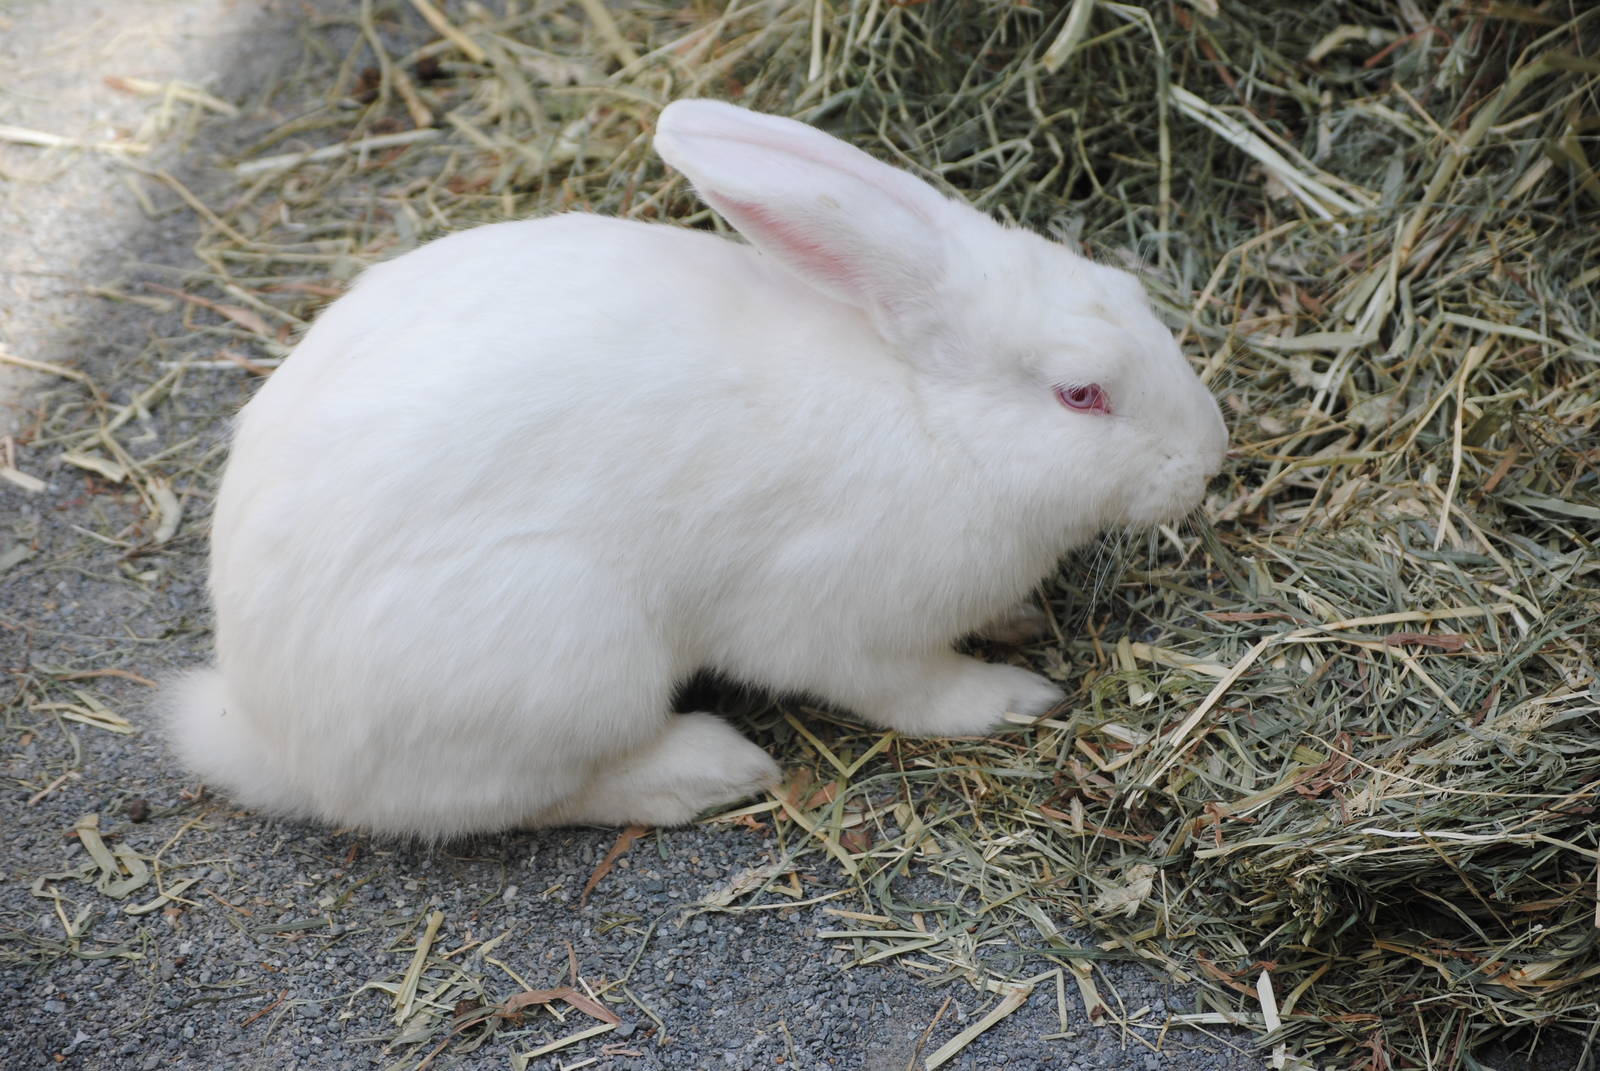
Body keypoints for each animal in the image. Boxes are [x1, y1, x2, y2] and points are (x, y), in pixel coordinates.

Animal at [164, 99, 1227, 839]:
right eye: (1081, 395)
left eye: (1131, 289)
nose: (1209, 459)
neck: (932, 418)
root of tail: (265, 727)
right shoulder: (848, 626)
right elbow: (915, 694)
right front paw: (1016, 697)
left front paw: (1018, 621)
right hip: (568, 658)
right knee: (499, 802)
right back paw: (712, 768)